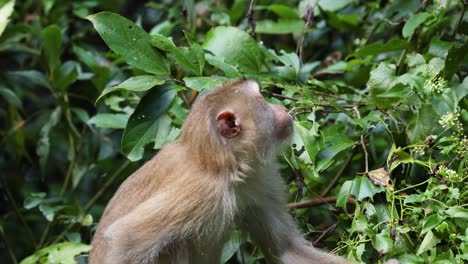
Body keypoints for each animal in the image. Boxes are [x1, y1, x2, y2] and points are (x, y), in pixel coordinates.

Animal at [88, 79, 352, 262]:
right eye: (262, 100)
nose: (280, 106)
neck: (220, 165)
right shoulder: (201, 192)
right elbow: (125, 240)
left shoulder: (256, 184)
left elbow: (286, 249)